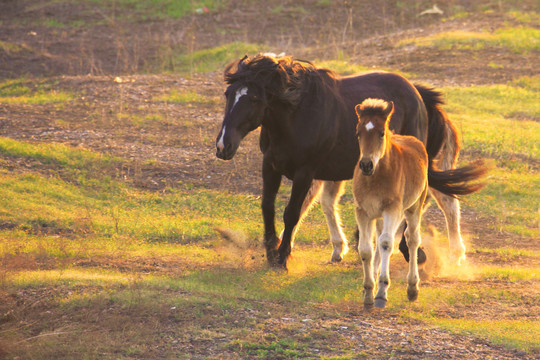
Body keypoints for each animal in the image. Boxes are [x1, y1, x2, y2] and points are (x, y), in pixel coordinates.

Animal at [217, 52, 484, 268]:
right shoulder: (270, 166)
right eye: (228, 94)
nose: (223, 146)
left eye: (254, 99)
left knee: (435, 201)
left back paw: (435, 253)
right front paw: (272, 249)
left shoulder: (305, 172)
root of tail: (417, 93)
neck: (297, 115)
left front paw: (282, 257)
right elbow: (268, 207)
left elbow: (292, 211)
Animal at [352, 99, 488, 310]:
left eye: (381, 133)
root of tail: (413, 140)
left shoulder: (393, 210)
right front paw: (368, 291)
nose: (366, 165)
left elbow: (386, 243)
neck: (375, 179)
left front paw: (381, 293)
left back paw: (412, 287)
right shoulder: (363, 211)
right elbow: (366, 249)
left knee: (412, 238)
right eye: (358, 133)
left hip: (413, 207)